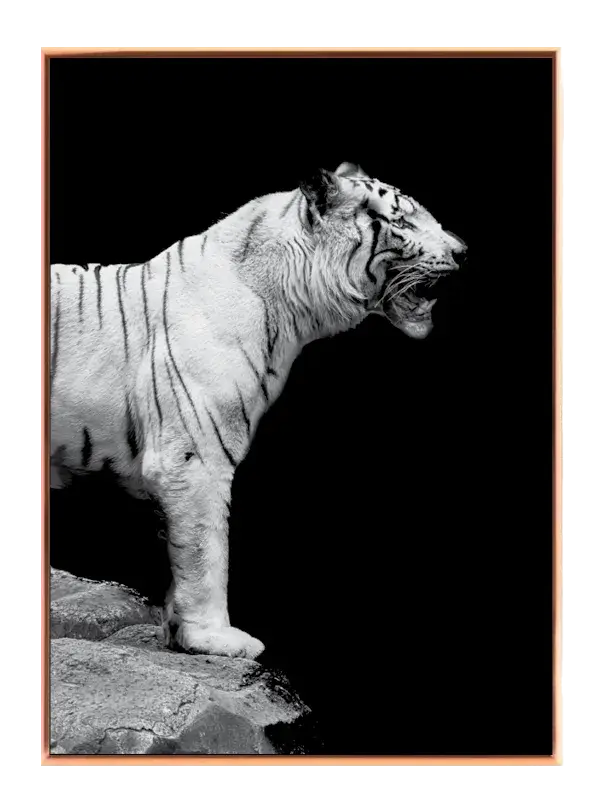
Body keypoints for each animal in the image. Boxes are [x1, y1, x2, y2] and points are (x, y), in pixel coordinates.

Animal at [49, 162, 467, 659]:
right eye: (402, 220)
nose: (462, 252)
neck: (290, 311)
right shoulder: (195, 457)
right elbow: (206, 550)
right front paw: (214, 637)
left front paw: (178, 633)